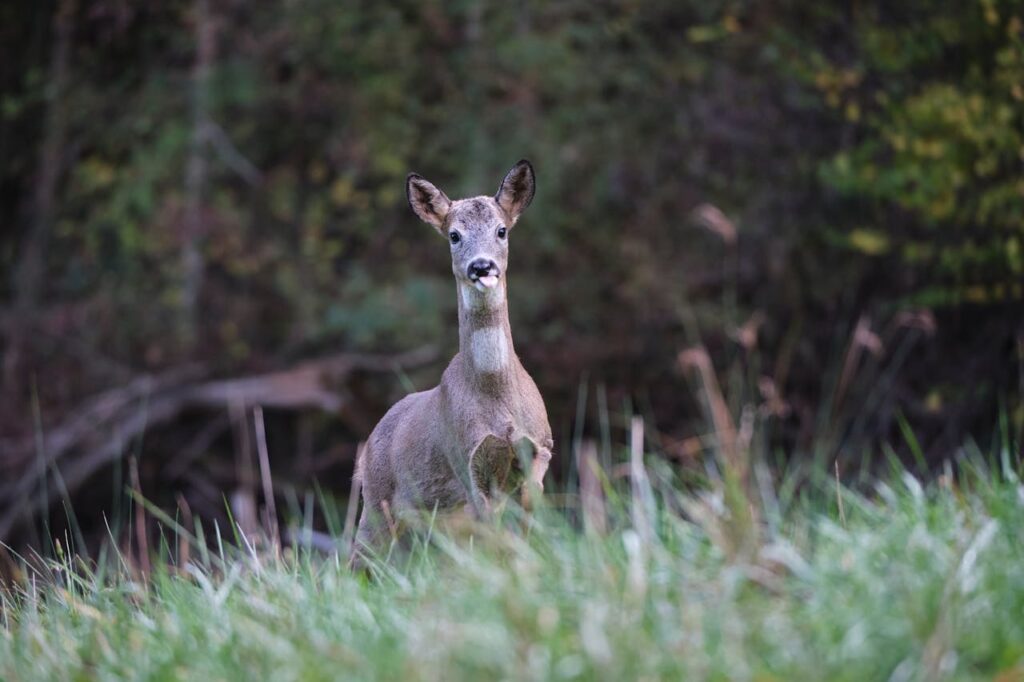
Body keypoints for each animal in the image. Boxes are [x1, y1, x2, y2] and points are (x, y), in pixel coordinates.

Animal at [351, 160, 553, 566]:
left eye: (501, 230)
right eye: (454, 236)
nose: (482, 266)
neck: (496, 395)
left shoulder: (537, 452)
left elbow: (527, 531)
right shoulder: (467, 461)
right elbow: (496, 540)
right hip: (377, 503)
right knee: (355, 562)